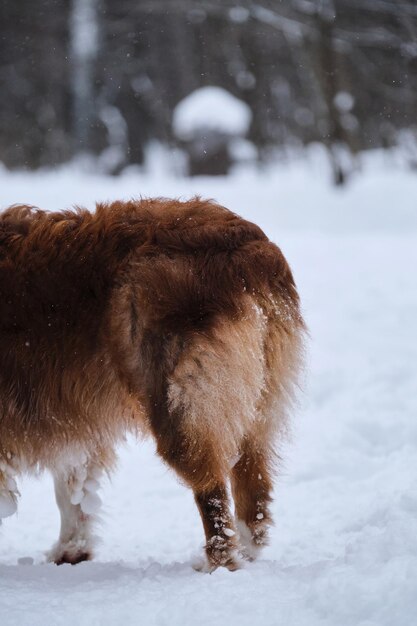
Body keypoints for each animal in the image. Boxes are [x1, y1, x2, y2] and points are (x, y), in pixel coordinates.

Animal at [0, 197, 306, 568]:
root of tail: (251, 252)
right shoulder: (71, 420)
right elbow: (73, 492)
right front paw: (72, 550)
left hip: (178, 403)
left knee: (213, 493)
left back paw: (216, 564)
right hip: (256, 403)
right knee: (254, 496)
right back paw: (246, 556)